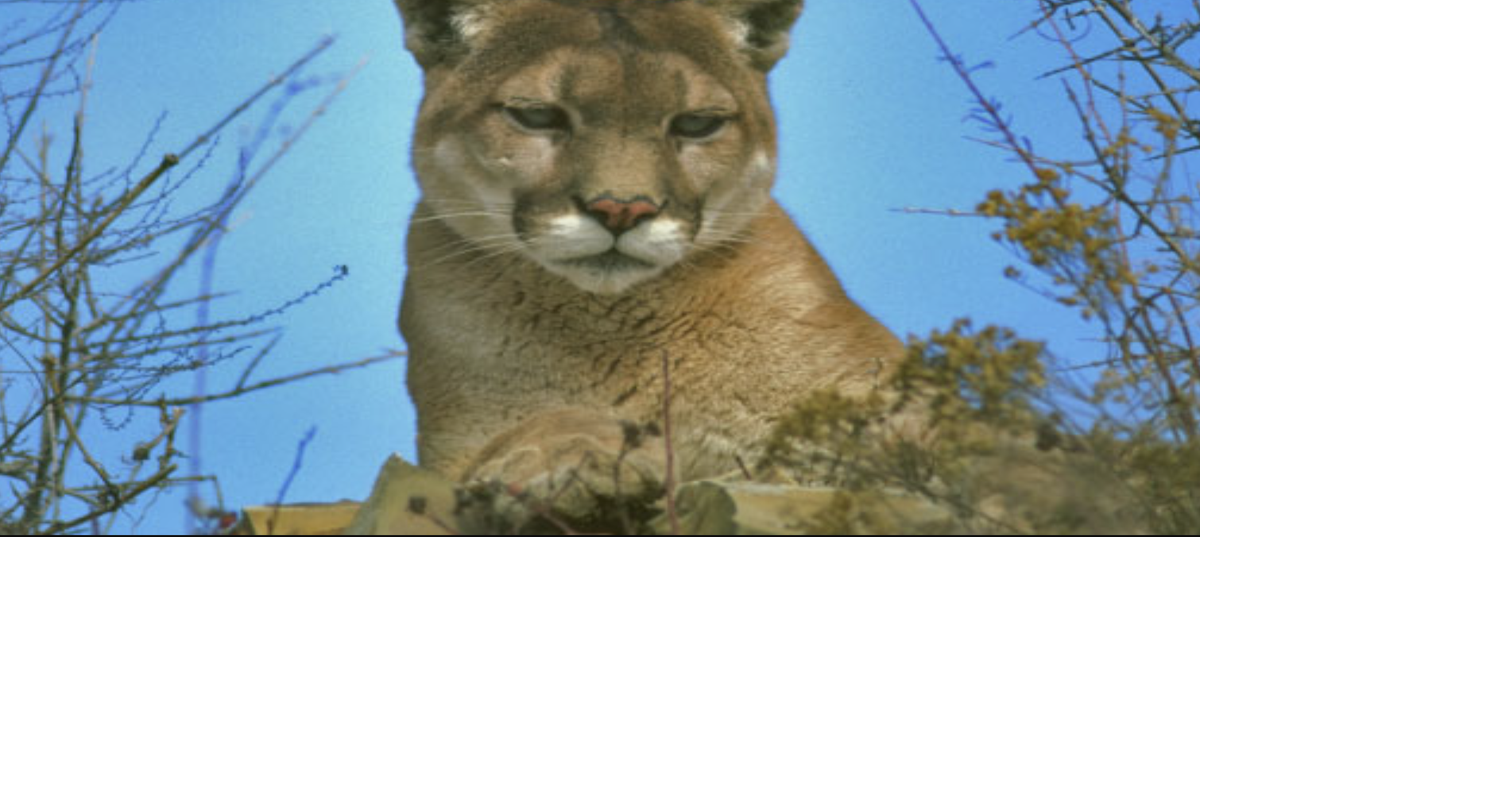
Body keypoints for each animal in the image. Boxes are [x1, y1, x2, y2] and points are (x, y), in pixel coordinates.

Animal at [393, 0, 903, 516]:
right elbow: (542, 423)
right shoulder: (452, 447)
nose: (622, 209)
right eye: (537, 116)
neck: (615, 331)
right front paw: (572, 458)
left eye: (697, 123)